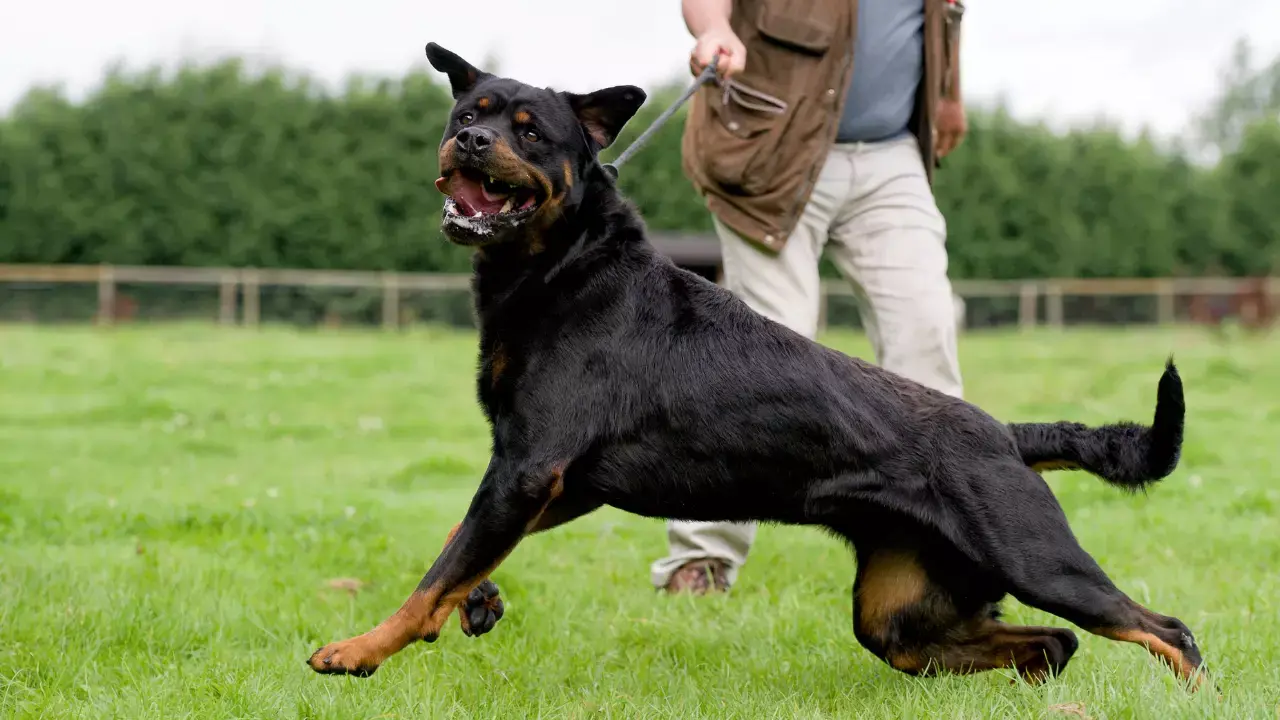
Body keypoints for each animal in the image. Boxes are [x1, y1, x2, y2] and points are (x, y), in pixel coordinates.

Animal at [304, 41, 1203, 686]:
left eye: (529, 130)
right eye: (469, 111)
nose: (471, 139)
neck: (564, 266)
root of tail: (1006, 435)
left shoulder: (530, 467)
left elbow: (433, 574)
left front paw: (357, 650)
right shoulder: (558, 482)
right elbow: (459, 548)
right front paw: (477, 601)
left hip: (1035, 558)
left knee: (1164, 630)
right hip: (900, 610)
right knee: (1045, 644)